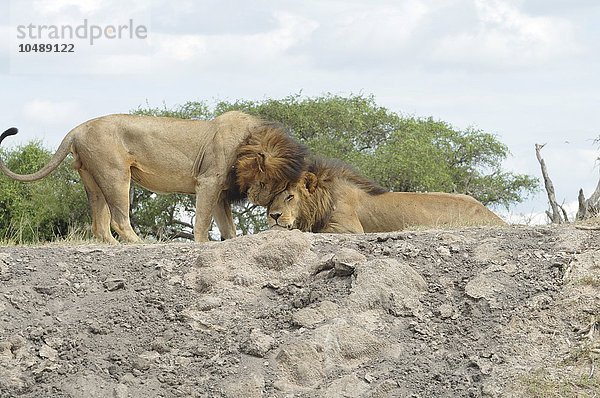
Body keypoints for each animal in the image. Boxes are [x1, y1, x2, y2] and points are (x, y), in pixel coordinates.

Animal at [0, 111, 308, 243]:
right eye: (269, 183)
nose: (267, 205)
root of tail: (76, 129)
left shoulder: (220, 192)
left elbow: (228, 228)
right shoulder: (208, 181)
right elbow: (202, 223)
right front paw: (202, 245)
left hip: (91, 177)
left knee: (100, 226)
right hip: (115, 174)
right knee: (119, 220)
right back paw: (140, 245)